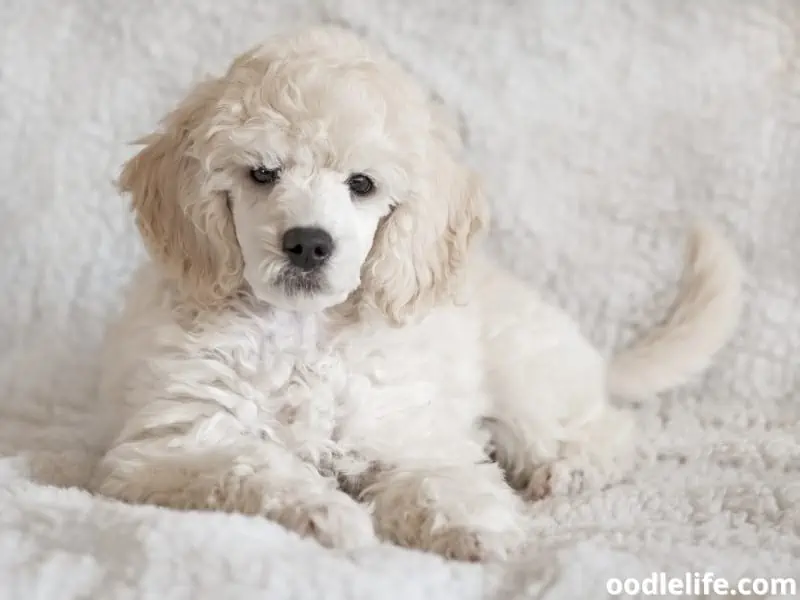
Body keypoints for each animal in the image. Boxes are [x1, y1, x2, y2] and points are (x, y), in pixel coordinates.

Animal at [92, 25, 744, 564]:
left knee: (610, 430)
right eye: (261, 174)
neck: (306, 332)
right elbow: (251, 466)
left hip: (526, 383)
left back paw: (569, 471)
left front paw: (478, 529)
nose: (308, 244)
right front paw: (326, 513)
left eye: (362, 185)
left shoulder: (415, 432)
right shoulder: (169, 446)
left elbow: (442, 478)